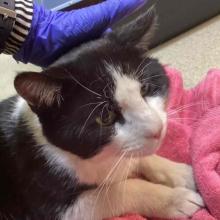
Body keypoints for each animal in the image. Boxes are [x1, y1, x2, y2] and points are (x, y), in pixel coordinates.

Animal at [0, 6, 204, 220]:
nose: (157, 130)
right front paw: (177, 199)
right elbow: (119, 192)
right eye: (105, 117)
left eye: (146, 89)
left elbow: (137, 156)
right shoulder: (49, 201)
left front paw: (178, 172)